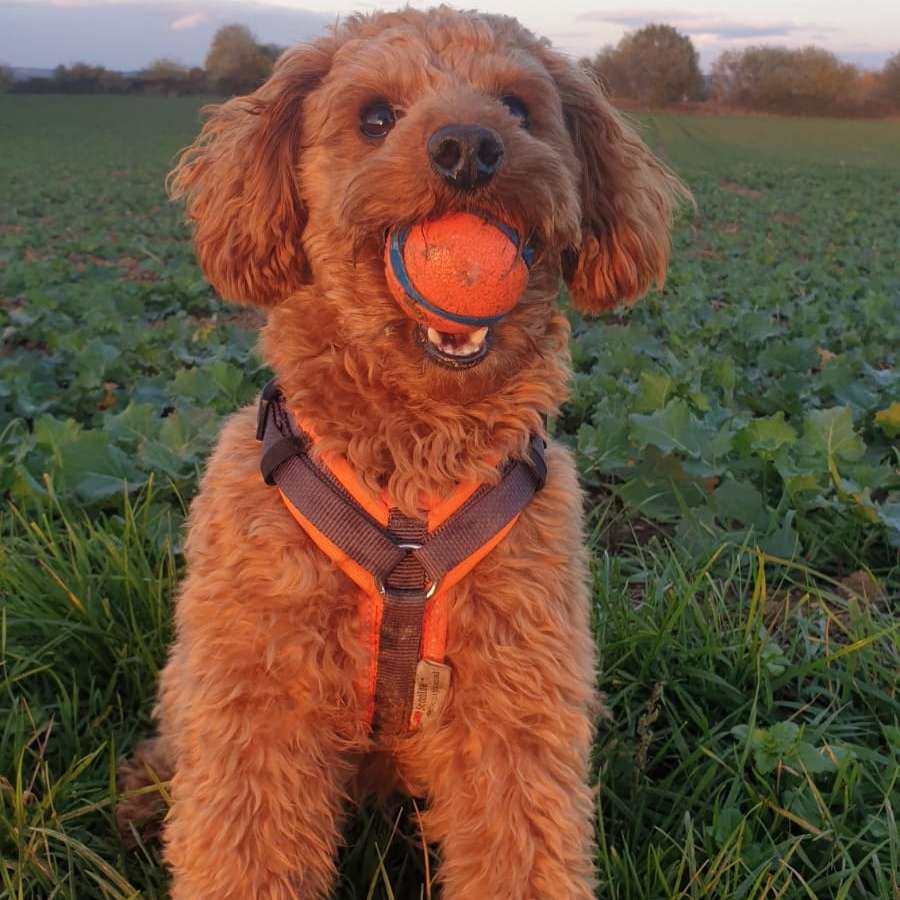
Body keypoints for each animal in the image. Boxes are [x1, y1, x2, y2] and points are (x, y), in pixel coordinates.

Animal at [116, 8, 684, 900]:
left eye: (518, 108)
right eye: (376, 117)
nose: (468, 148)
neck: (413, 466)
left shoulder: (517, 701)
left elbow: (521, 849)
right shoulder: (257, 703)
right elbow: (244, 847)